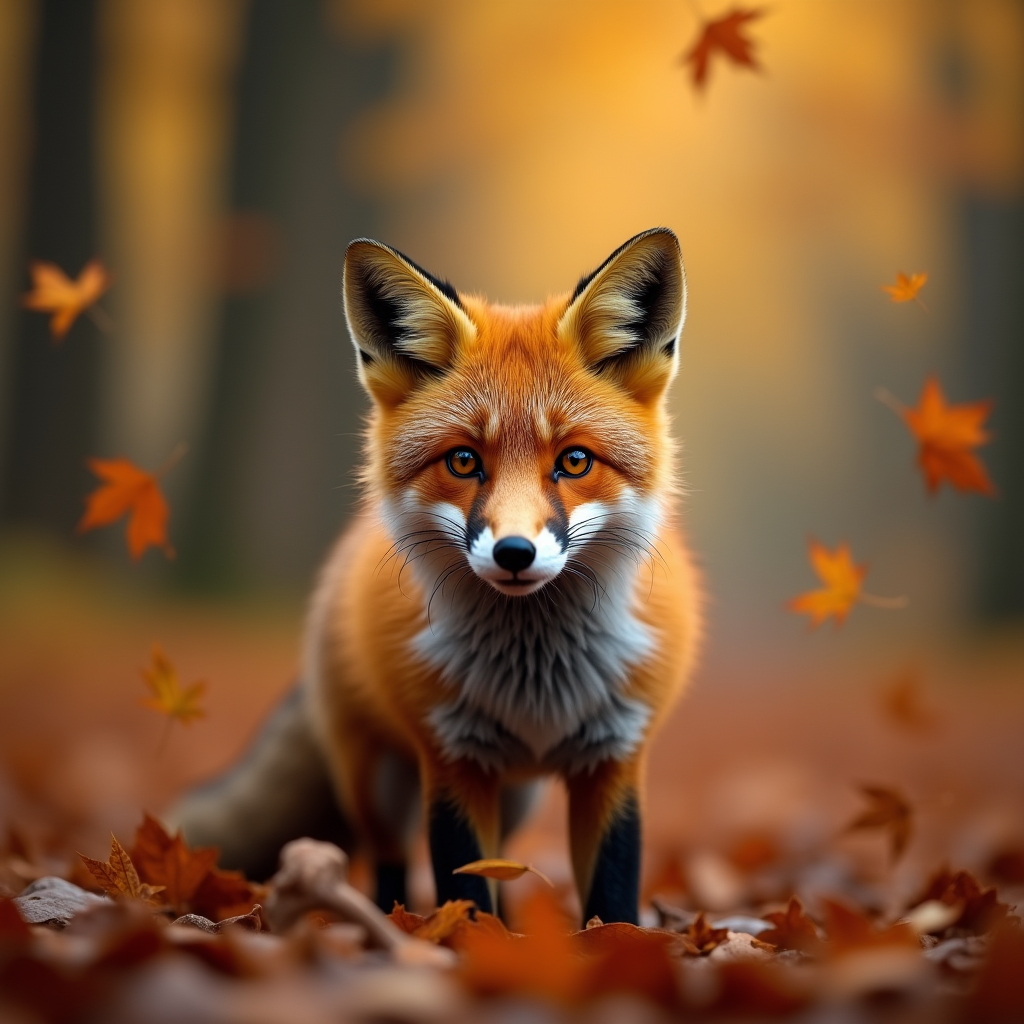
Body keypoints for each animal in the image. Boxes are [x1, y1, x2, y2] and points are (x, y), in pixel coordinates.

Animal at [172, 227, 702, 925]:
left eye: (574, 461)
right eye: (463, 461)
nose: (513, 552)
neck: (536, 679)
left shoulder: (615, 753)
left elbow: (610, 898)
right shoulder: (451, 756)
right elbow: (466, 892)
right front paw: (471, 943)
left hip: (517, 799)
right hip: (380, 785)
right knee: (389, 864)